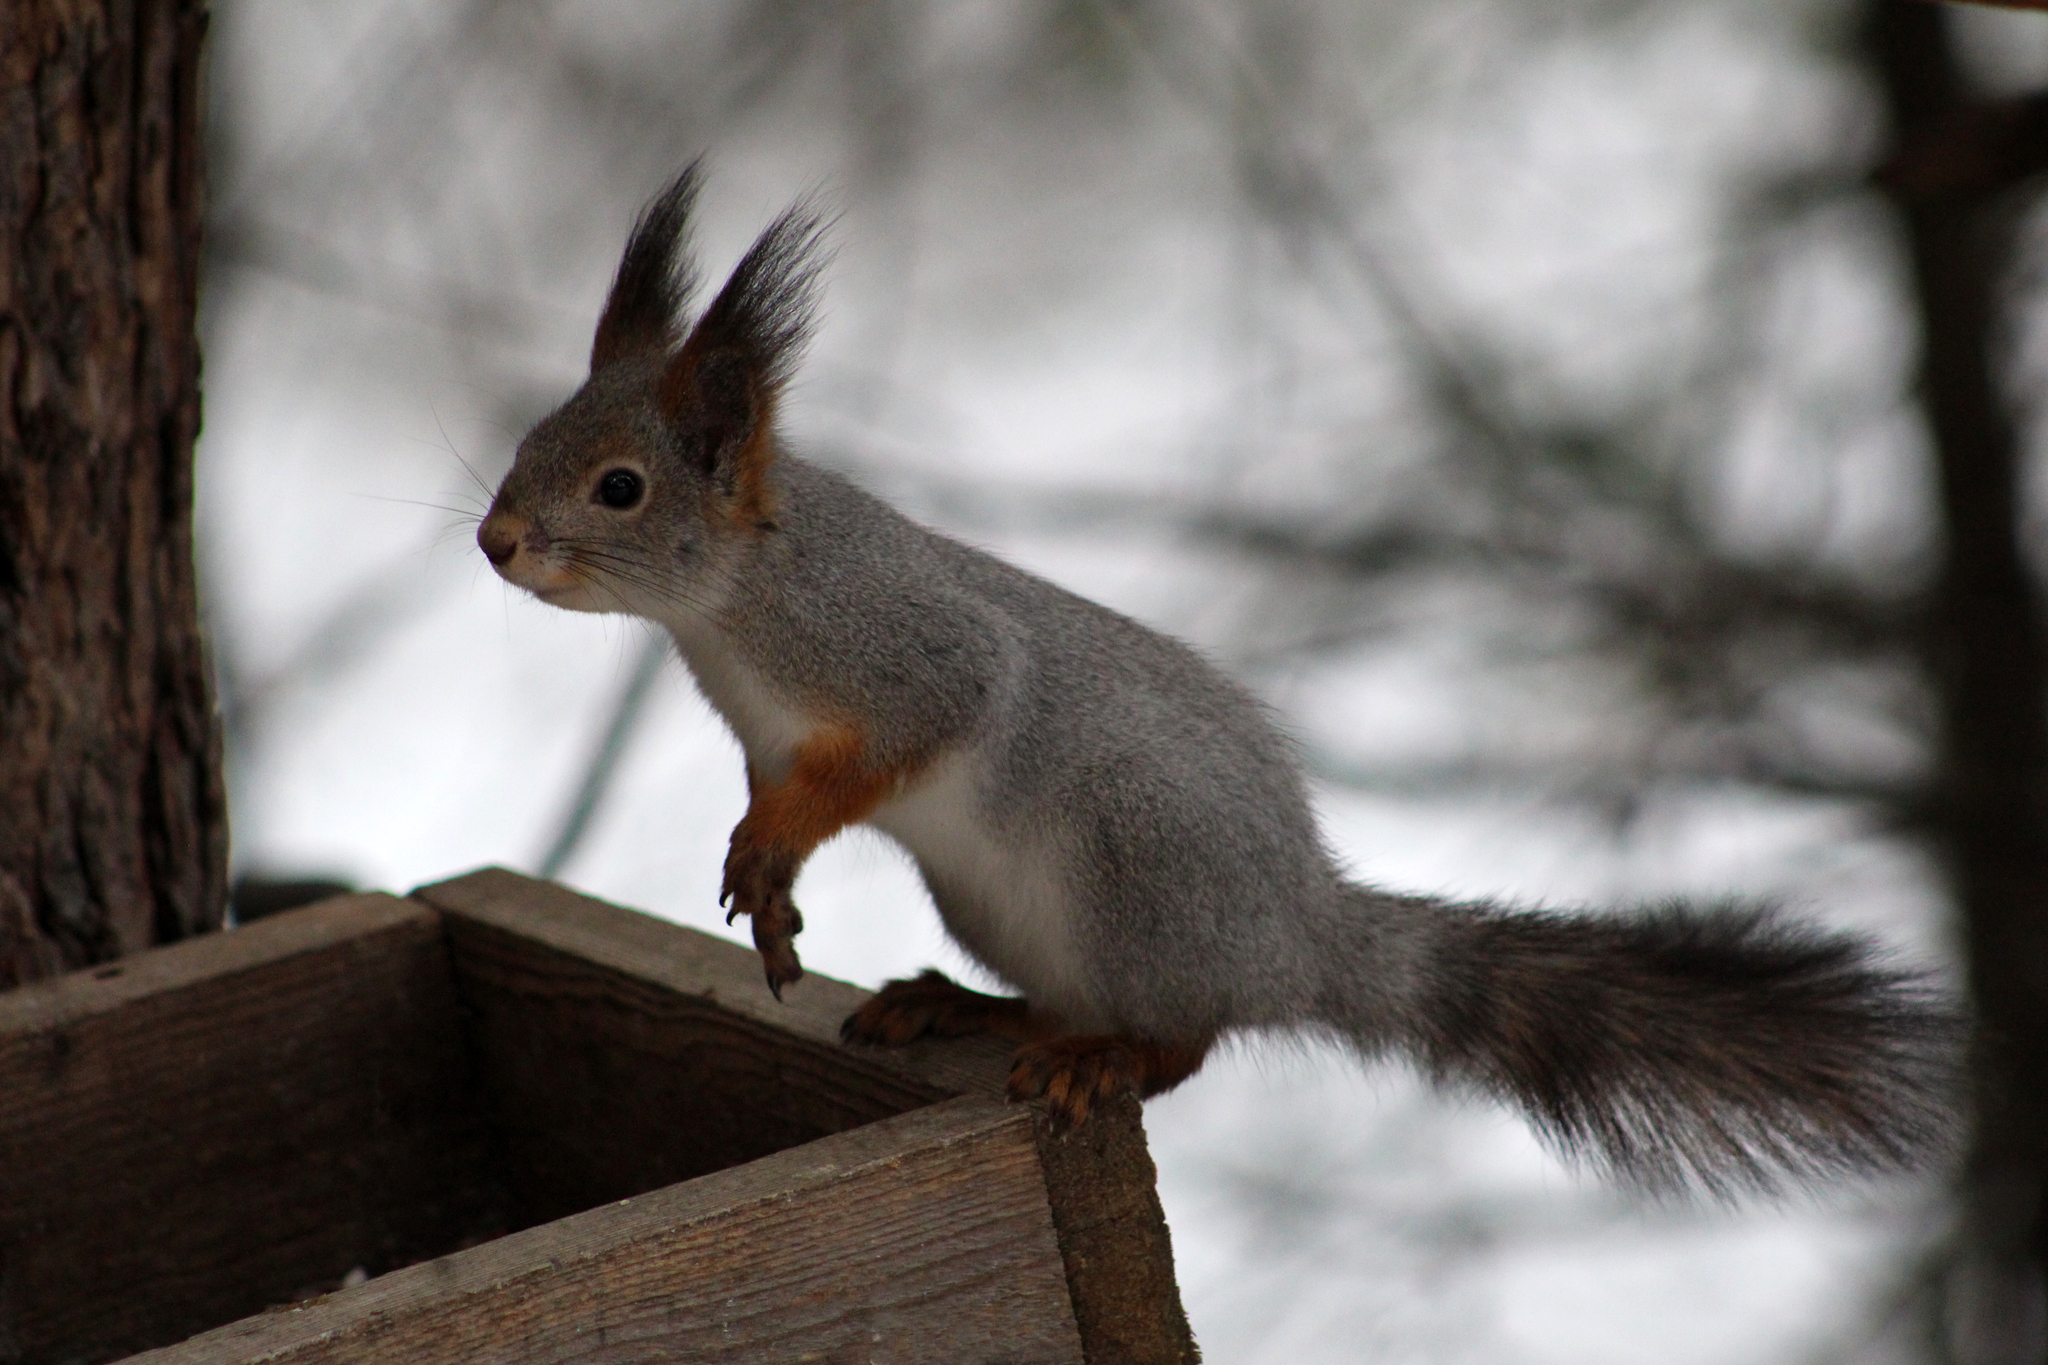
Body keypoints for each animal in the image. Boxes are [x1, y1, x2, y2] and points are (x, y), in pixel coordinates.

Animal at [483, 165, 1966, 1195]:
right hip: (1008, 906)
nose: (496, 541)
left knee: (1188, 1040)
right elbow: (773, 788)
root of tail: (1297, 932)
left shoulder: (899, 651)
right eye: (529, 441)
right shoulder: (763, 724)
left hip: (1133, 875)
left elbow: (913, 731)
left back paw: (1102, 1057)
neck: (728, 608)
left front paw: (776, 847)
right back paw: (957, 1003)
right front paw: (773, 882)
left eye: (618, 488)